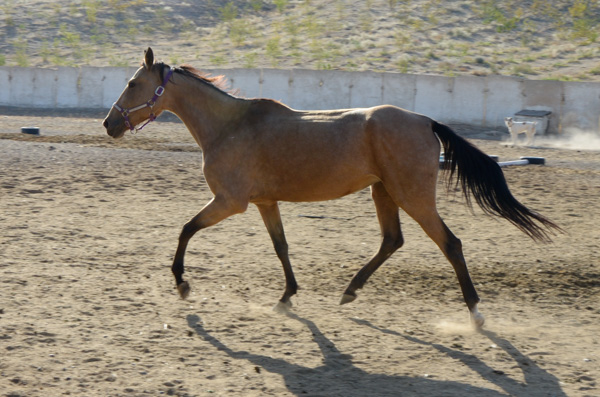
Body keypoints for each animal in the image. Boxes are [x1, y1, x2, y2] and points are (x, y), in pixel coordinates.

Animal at [104, 48, 564, 326]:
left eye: (132, 84)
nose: (108, 124)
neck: (230, 127)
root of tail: (425, 120)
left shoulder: (229, 201)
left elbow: (186, 229)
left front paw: (182, 284)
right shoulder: (265, 202)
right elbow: (281, 246)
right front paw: (287, 296)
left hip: (413, 196)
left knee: (450, 244)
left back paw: (476, 316)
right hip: (384, 193)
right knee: (392, 241)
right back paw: (349, 292)